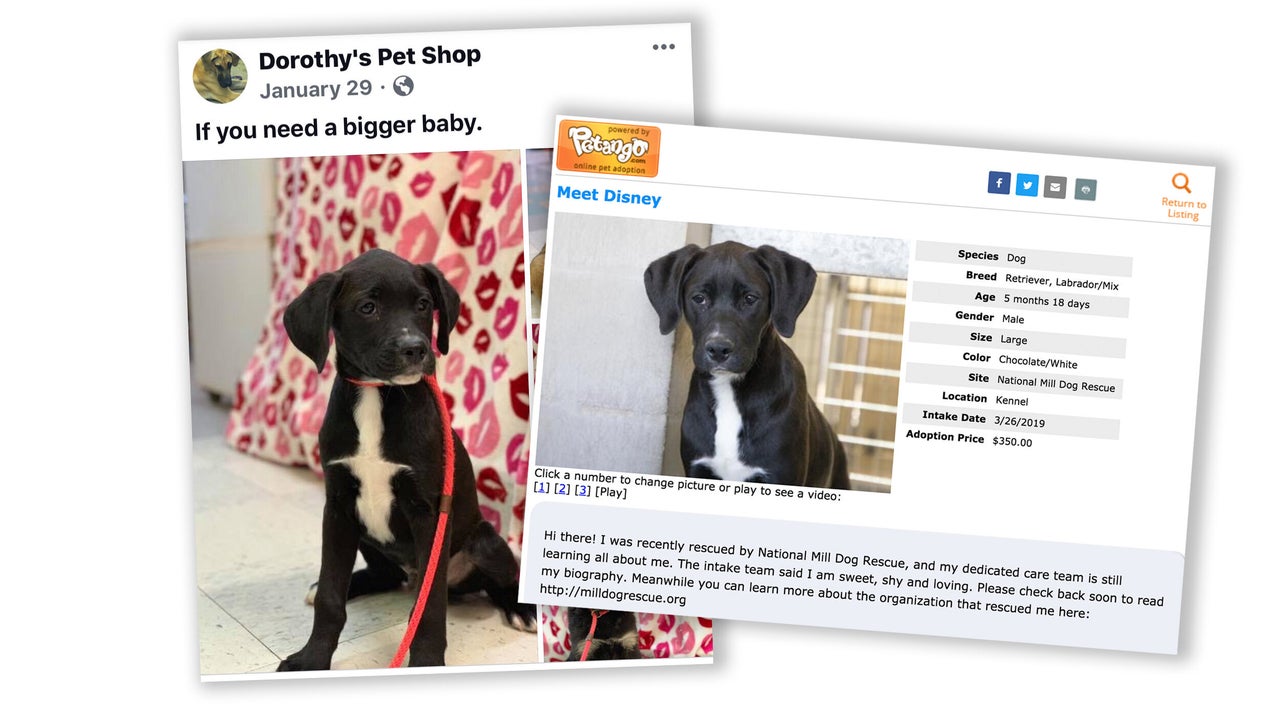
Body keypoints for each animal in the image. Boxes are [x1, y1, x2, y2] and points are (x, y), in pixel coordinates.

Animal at [280, 248, 535, 666]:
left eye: (424, 304)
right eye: (367, 307)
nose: (416, 349)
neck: (377, 395)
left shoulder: (429, 512)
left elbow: (429, 609)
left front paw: (427, 662)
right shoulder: (337, 508)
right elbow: (331, 598)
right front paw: (312, 658)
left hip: (485, 541)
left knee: (497, 579)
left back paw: (521, 609)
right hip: (365, 533)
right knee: (387, 576)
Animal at [645, 242, 844, 486]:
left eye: (750, 298)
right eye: (699, 298)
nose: (718, 349)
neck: (729, 392)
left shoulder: (780, 476)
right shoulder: (698, 470)